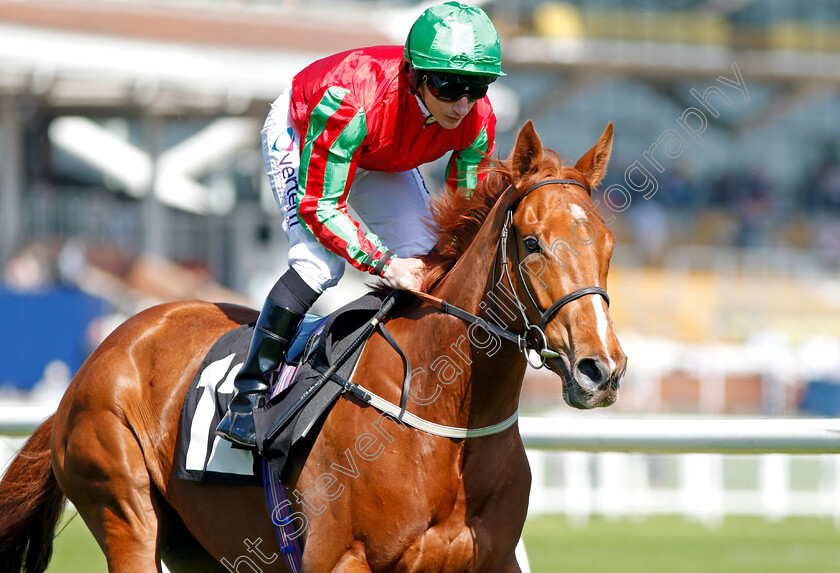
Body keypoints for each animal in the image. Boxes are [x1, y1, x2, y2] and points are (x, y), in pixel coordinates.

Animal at [0, 122, 624, 572]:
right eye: (532, 243)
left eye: (609, 244)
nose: (601, 369)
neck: (442, 419)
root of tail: (102, 355)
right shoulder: (343, 560)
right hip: (125, 510)